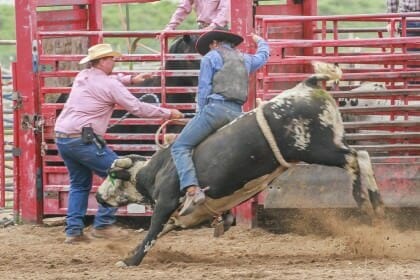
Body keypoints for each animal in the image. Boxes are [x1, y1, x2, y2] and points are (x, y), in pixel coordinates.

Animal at [97, 63, 386, 266]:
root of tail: (307, 84)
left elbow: (153, 231)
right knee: (360, 158)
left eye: (112, 175)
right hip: (327, 144)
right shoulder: (191, 215)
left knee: (357, 157)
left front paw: (130, 260)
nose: (98, 197)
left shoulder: (166, 201)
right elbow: (169, 228)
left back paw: (365, 199)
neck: (155, 170)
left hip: (316, 148)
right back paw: (372, 202)